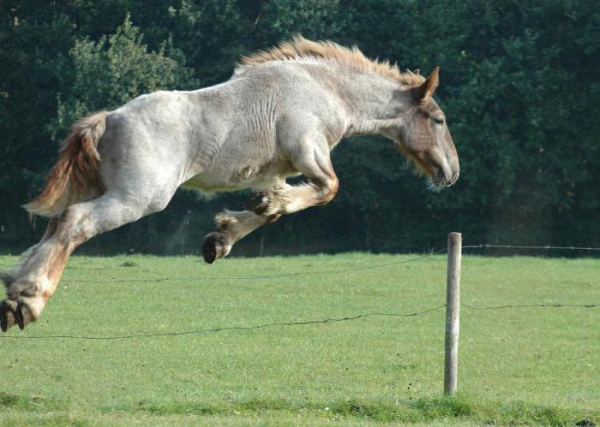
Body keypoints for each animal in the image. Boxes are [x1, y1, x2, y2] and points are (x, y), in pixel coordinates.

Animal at [1, 36, 460, 332]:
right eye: (438, 120)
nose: (452, 172)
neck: (325, 89)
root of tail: (108, 119)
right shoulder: (309, 153)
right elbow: (327, 189)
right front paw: (245, 219)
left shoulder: (279, 169)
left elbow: (273, 209)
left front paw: (223, 237)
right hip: (137, 198)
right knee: (74, 223)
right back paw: (29, 298)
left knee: (54, 226)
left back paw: (14, 294)